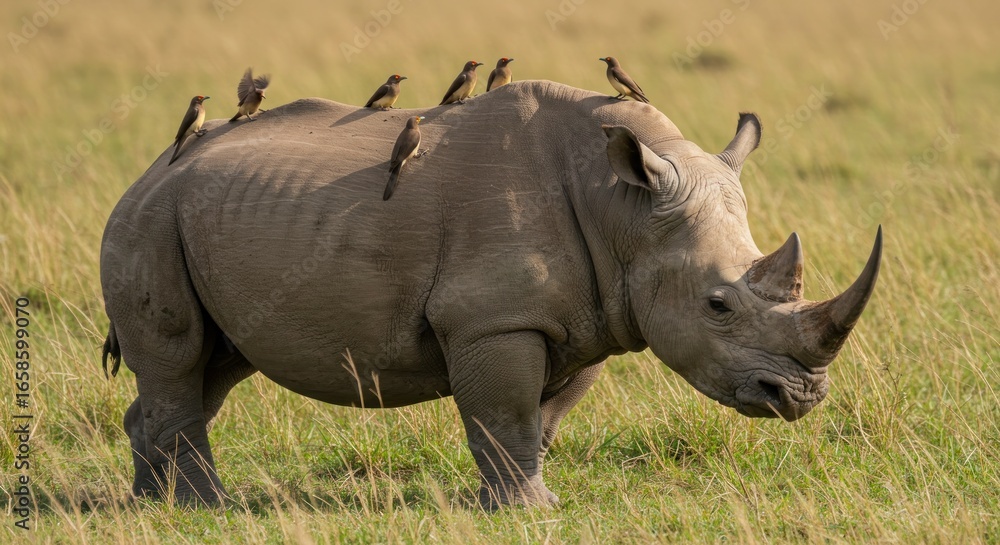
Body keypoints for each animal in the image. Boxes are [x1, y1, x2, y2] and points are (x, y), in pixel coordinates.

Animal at [100, 80, 882, 508]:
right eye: (718, 305)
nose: (801, 397)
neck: (624, 210)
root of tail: (144, 173)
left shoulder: (591, 317)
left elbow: (541, 418)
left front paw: (522, 496)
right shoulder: (494, 320)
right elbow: (506, 412)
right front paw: (527, 511)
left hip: (202, 216)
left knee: (215, 366)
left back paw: (153, 504)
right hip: (149, 219)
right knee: (180, 360)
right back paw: (205, 507)